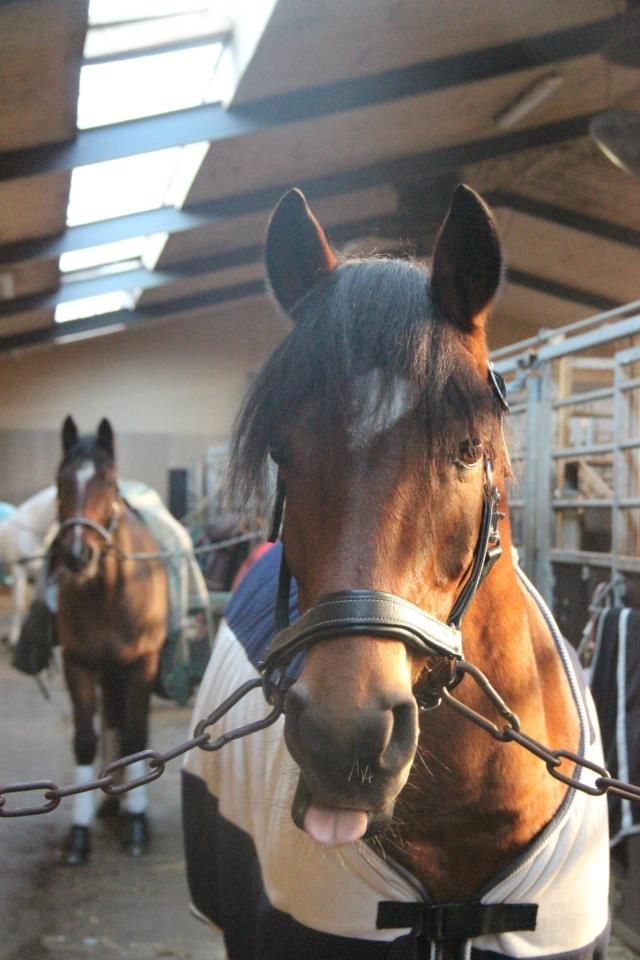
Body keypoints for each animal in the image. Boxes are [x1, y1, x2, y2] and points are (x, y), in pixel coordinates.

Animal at [56, 416, 168, 865]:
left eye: (108, 481)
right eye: (62, 479)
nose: (76, 555)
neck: (107, 593)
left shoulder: (141, 663)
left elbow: (137, 734)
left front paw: (137, 826)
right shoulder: (79, 663)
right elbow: (86, 741)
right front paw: (79, 834)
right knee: (112, 722)